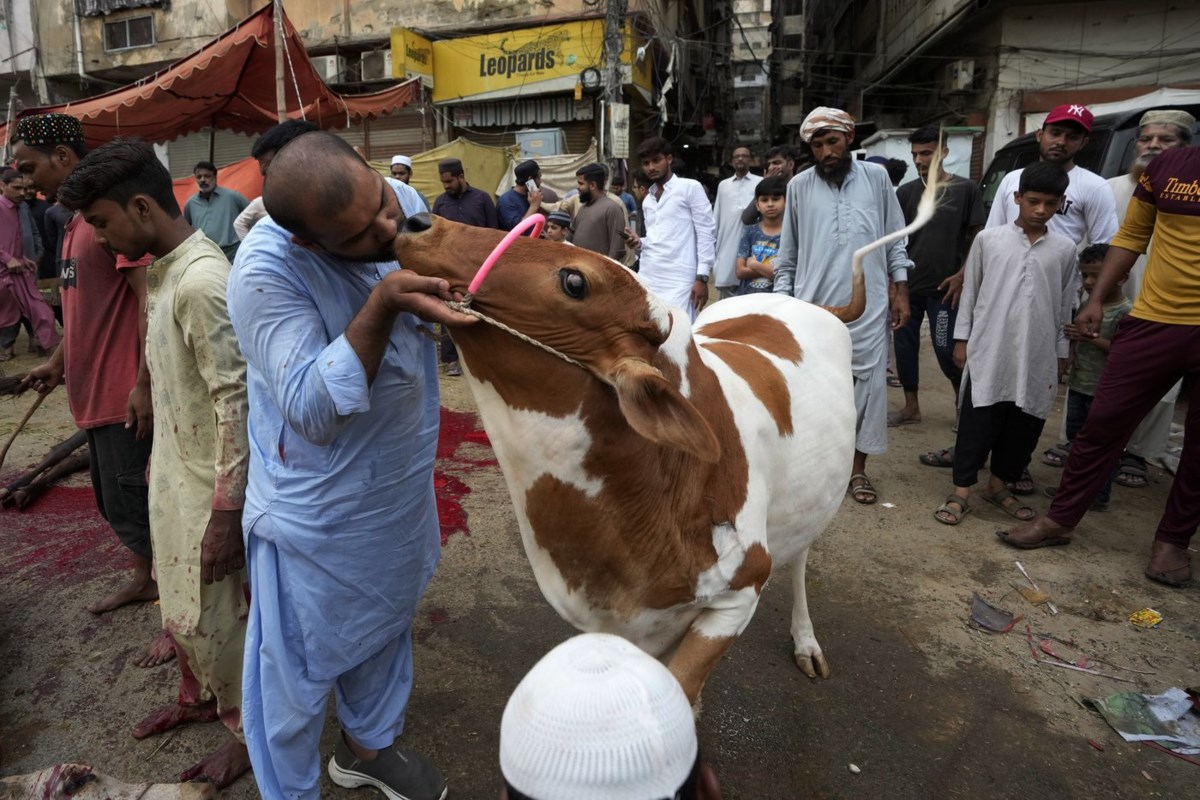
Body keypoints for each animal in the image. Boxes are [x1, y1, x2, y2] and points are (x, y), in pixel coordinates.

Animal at [398, 219, 868, 700]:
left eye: (574, 282)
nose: (421, 224)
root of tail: (799, 300)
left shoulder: (740, 593)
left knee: (800, 560)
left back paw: (806, 641)